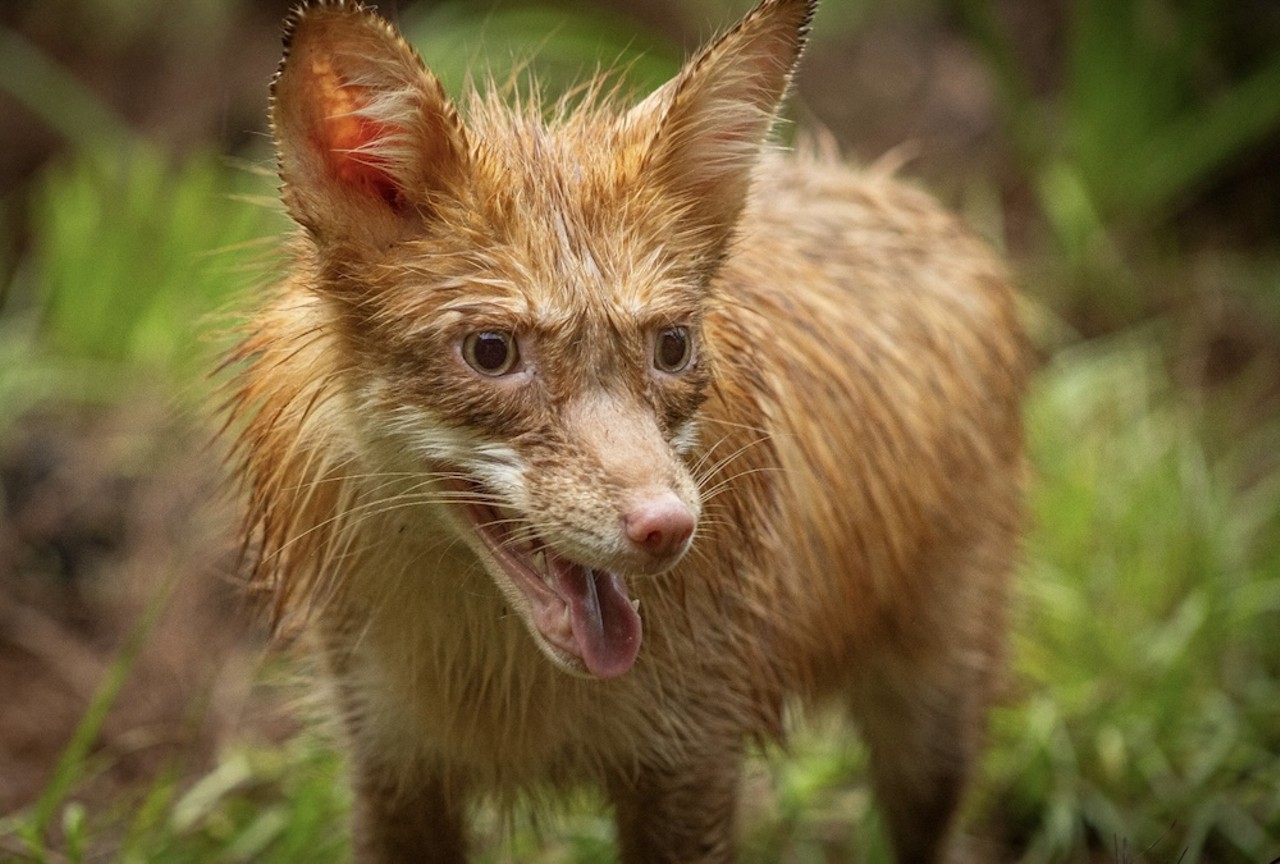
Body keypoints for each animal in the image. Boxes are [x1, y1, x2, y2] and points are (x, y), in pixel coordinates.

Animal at [225, 0, 1029, 860]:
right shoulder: (391, 769)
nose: (668, 528)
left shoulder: (691, 763)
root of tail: (879, 180)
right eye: (491, 352)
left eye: (671, 346)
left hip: (932, 735)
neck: (498, 696)